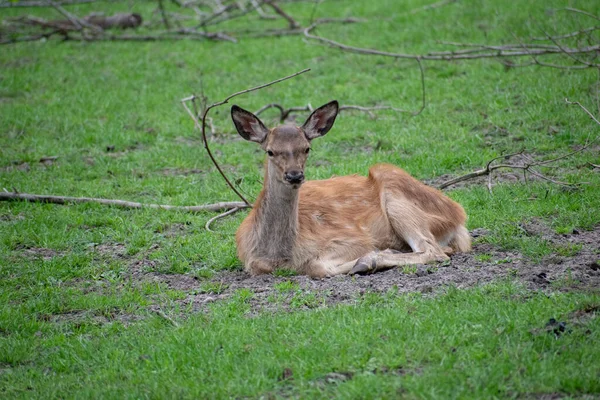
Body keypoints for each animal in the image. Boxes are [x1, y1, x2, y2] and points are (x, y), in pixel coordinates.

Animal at [232, 99, 472, 278]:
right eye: (270, 151)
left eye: (307, 148)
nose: (294, 175)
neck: (278, 255)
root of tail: (459, 215)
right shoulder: (251, 262)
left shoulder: (352, 238)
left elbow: (316, 266)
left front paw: (369, 258)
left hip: (399, 200)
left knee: (433, 250)